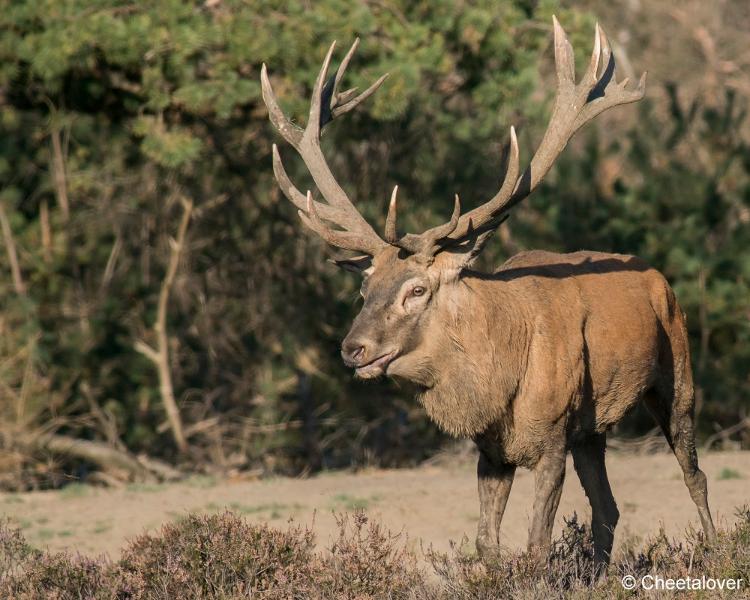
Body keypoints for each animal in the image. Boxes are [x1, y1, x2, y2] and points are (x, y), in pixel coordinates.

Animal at [262, 17, 720, 572]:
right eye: (364, 288)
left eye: (416, 290)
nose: (353, 349)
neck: (501, 373)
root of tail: (660, 277)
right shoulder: (492, 448)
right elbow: (486, 541)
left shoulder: (551, 435)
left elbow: (537, 544)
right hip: (591, 429)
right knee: (607, 507)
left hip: (677, 377)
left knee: (694, 475)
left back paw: (716, 549)